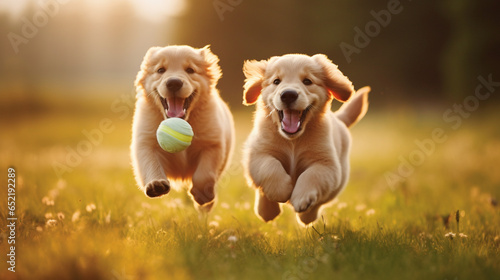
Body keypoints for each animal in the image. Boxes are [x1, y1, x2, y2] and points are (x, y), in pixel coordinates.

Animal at [132, 45, 235, 210]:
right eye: (160, 70)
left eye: (190, 70)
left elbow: (204, 174)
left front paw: (202, 195)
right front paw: (156, 184)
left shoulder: (213, 143)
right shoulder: (145, 141)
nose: (174, 83)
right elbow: (150, 162)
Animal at [242, 53, 372, 224]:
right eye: (276, 81)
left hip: (340, 179)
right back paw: (267, 210)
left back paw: (307, 215)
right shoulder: (257, 154)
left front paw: (301, 198)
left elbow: (311, 175)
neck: (293, 140)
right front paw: (281, 190)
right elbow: (270, 166)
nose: (288, 95)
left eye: (307, 81)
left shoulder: (327, 165)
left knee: (320, 201)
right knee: (262, 191)